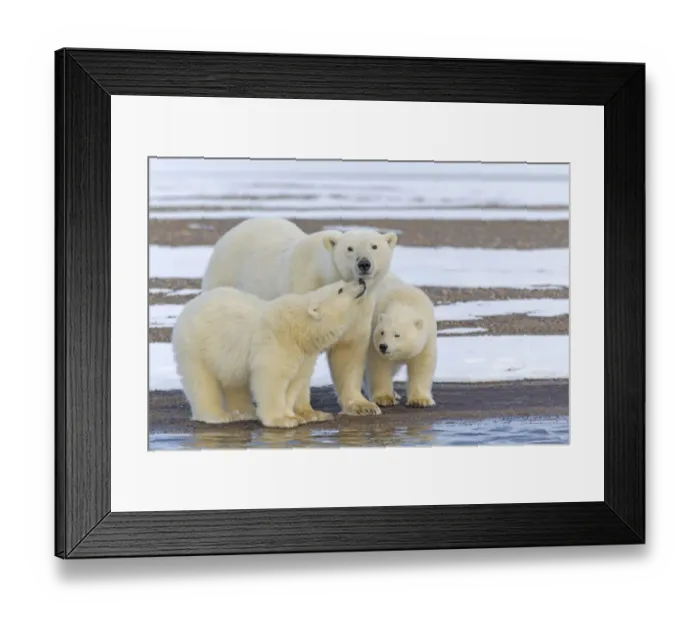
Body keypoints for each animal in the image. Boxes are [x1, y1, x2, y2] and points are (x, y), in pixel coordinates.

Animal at [172, 278, 369, 429]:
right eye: (340, 289)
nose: (361, 281)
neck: (299, 328)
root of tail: (187, 308)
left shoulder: (304, 354)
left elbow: (295, 381)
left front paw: (294, 416)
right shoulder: (277, 342)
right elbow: (272, 379)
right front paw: (281, 420)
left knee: (234, 381)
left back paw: (244, 412)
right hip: (196, 346)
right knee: (201, 382)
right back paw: (217, 416)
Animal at [201, 218, 398, 418]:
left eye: (374, 246)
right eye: (349, 248)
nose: (364, 264)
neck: (325, 276)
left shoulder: (360, 308)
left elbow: (349, 350)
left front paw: (362, 405)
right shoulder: (304, 290)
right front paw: (306, 411)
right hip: (226, 280)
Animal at [365, 273, 438, 408]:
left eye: (397, 335)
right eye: (382, 332)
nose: (383, 346)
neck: (403, 301)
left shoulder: (427, 337)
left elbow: (422, 365)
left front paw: (420, 400)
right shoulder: (373, 332)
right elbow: (379, 366)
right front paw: (384, 399)